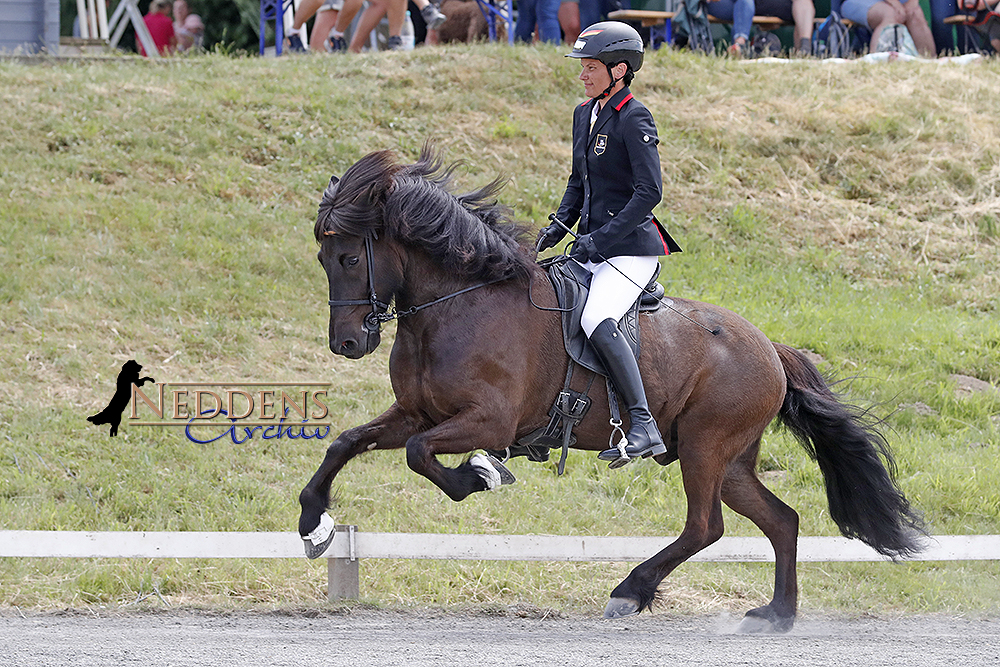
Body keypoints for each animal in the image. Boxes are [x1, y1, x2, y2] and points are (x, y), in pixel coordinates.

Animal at [296, 145, 920, 632]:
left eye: (349, 256)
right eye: (322, 258)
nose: (347, 344)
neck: (457, 304)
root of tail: (771, 349)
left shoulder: (489, 421)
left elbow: (420, 455)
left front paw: (480, 475)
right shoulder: (415, 411)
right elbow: (349, 443)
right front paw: (314, 526)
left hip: (705, 446)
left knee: (706, 526)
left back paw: (631, 591)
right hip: (732, 460)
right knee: (782, 521)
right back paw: (777, 615)